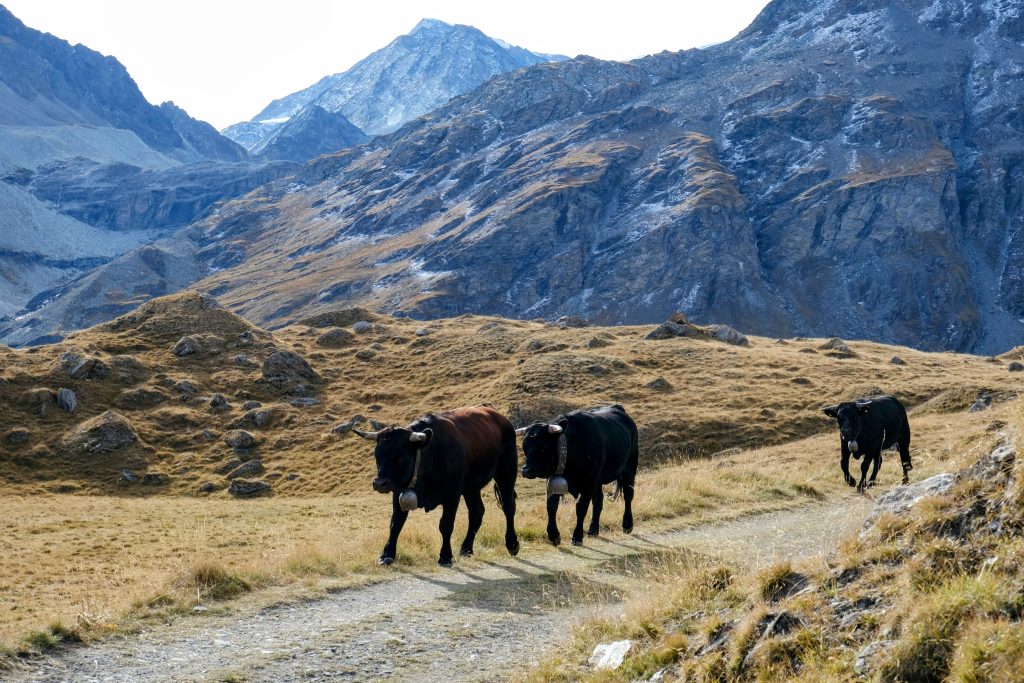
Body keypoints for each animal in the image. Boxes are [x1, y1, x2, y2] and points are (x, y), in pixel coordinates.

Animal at [353, 406, 520, 567]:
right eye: (377, 455)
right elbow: (396, 524)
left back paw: (512, 544)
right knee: (476, 512)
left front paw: (445, 556)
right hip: (471, 487)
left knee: (509, 507)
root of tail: (500, 417)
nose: (379, 483)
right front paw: (387, 554)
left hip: (506, 473)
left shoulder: (452, 495)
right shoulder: (398, 491)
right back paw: (466, 548)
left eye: (401, 456)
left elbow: (446, 525)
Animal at [516, 404, 638, 547]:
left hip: (629, 470)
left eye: (542, 447)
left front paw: (577, 536)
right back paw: (593, 530)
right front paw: (554, 535)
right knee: (599, 500)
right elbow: (551, 506)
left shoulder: (588, 484)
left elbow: (581, 508)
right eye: (525, 446)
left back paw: (627, 525)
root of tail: (617, 408)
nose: (525, 470)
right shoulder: (553, 482)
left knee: (628, 495)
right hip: (598, 481)